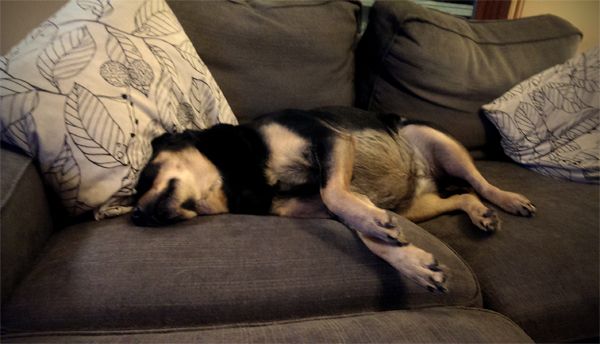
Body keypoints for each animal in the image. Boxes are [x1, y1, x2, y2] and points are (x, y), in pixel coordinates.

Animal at [132, 106, 536, 292]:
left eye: (146, 177)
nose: (135, 215)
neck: (242, 177)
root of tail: (425, 176)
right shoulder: (333, 201)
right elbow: (370, 237)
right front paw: (412, 262)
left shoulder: (330, 140)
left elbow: (334, 192)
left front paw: (378, 226)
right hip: (415, 206)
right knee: (461, 195)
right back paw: (480, 213)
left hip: (438, 142)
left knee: (478, 181)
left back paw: (508, 199)